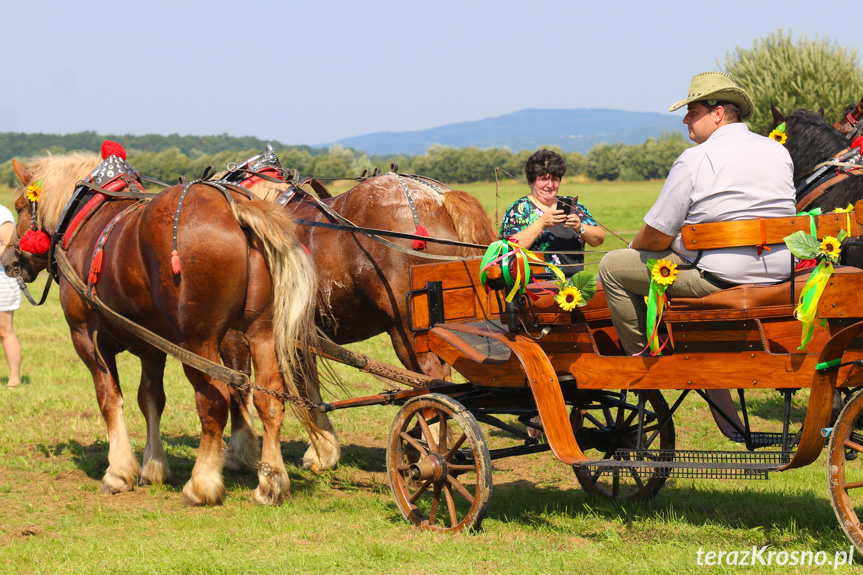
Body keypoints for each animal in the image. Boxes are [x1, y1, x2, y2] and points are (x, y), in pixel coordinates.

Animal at [2, 152, 334, 504]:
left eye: (20, 205)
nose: (9, 260)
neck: (88, 218)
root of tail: (234, 209)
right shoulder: (151, 346)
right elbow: (150, 399)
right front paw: (153, 466)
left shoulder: (87, 337)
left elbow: (109, 399)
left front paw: (119, 471)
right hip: (262, 332)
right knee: (269, 399)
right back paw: (271, 481)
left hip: (197, 341)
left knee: (216, 400)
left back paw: (202, 483)